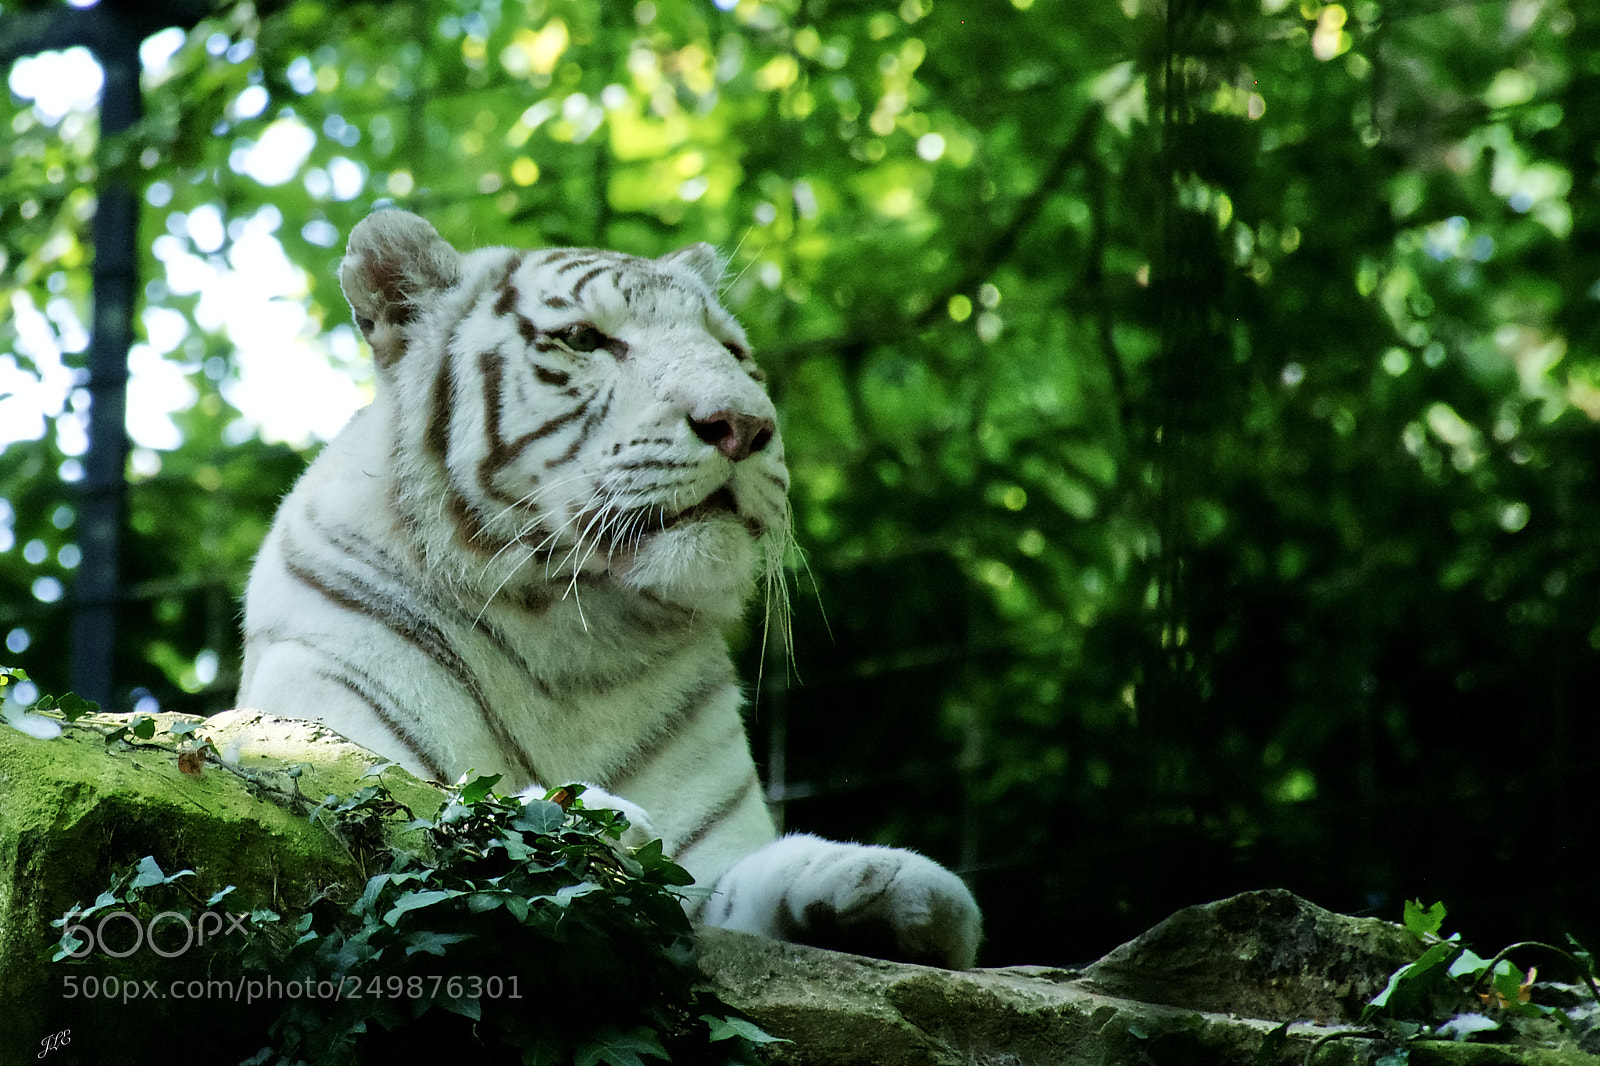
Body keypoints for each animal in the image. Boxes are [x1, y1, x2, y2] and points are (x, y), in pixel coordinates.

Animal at [236, 208, 981, 969]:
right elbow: (432, 801)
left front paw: (890, 886)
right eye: (583, 339)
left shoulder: (708, 868)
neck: (574, 633)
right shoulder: (321, 742)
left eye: (733, 352)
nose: (745, 425)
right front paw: (581, 816)